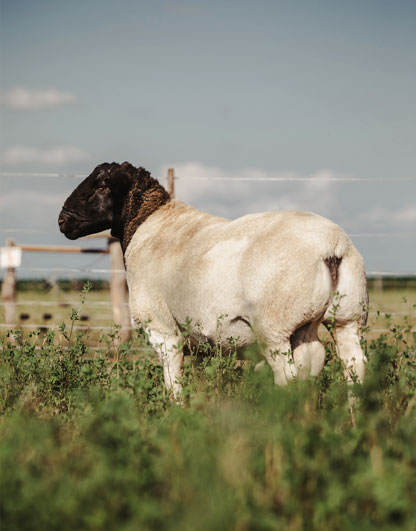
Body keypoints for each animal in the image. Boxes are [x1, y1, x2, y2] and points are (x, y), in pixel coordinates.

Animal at [58, 162, 368, 400]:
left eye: (102, 185)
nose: (62, 221)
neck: (148, 225)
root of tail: (332, 247)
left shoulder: (163, 329)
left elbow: (173, 383)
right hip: (343, 319)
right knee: (353, 370)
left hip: (274, 327)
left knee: (288, 378)